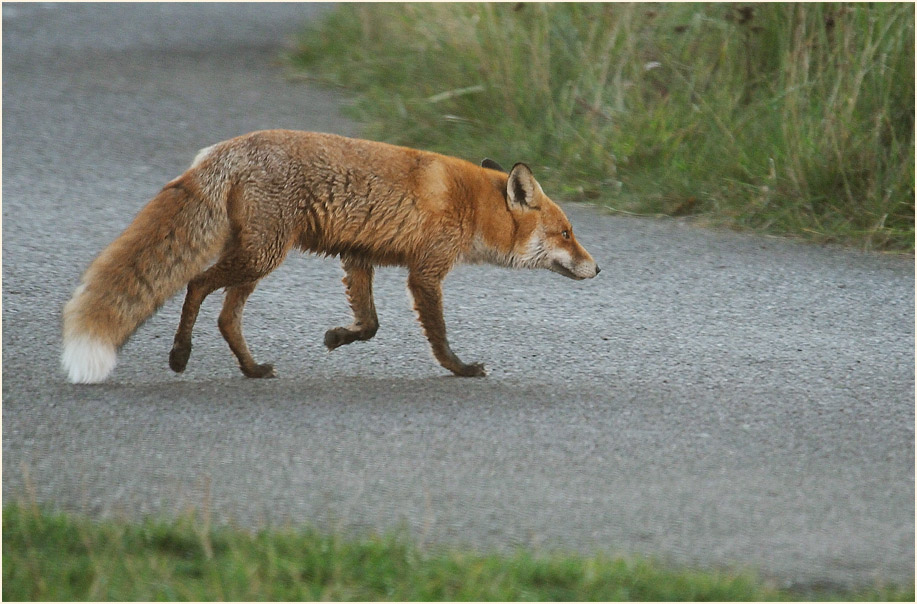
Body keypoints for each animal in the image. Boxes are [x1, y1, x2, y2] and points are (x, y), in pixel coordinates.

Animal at [61, 130, 599, 383]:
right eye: (567, 233)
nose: (598, 267)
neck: (471, 203)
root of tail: (224, 151)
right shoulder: (425, 273)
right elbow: (439, 337)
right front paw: (460, 369)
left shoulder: (359, 256)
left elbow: (372, 325)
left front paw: (339, 338)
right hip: (263, 256)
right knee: (195, 285)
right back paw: (180, 354)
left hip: (257, 257)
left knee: (226, 318)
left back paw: (251, 370)